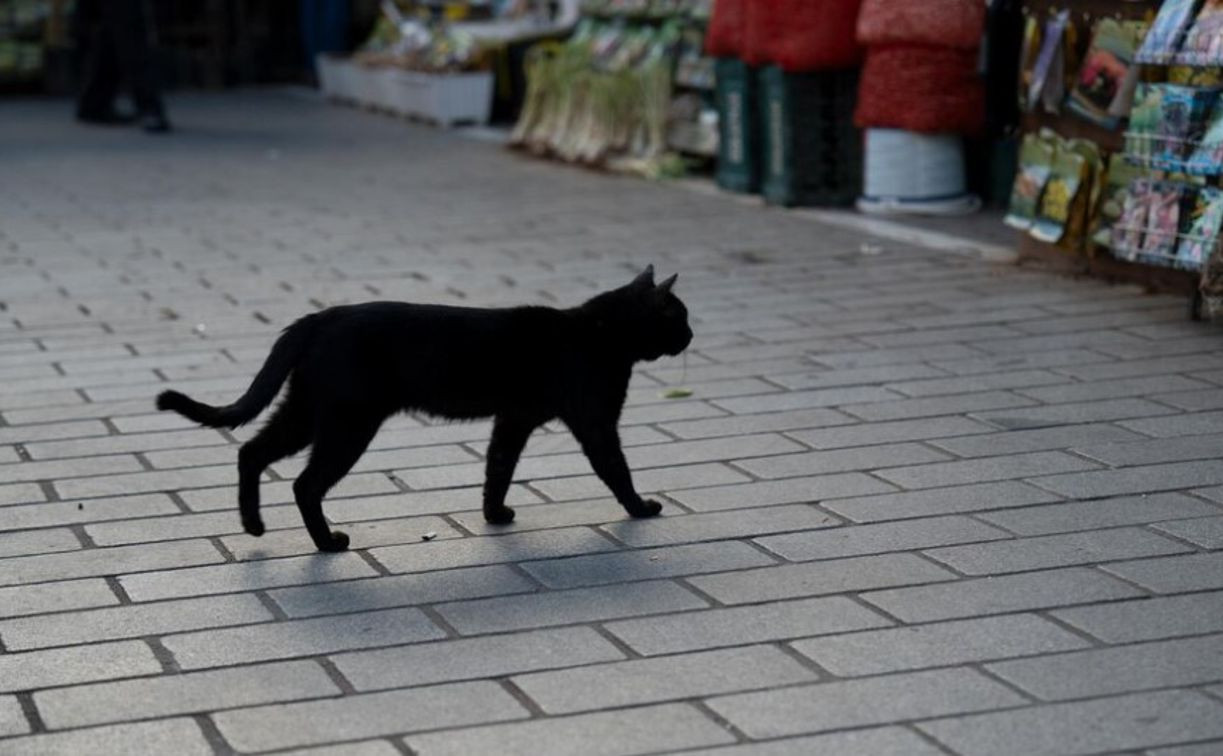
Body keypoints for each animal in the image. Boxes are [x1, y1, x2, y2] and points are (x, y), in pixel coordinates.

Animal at [155, 265, 689, 548]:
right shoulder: (596, 421)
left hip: (306, 411)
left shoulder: (513, 420)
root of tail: (318, 317)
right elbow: (617, 469)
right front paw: (641, 508)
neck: (601, 333)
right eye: (680, 317)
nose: (690, 335)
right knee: (304, 483)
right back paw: (328, 543)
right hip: (347, 424)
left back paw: (253, 525)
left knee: (251, 451)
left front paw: (494, 515)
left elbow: (498, 468)